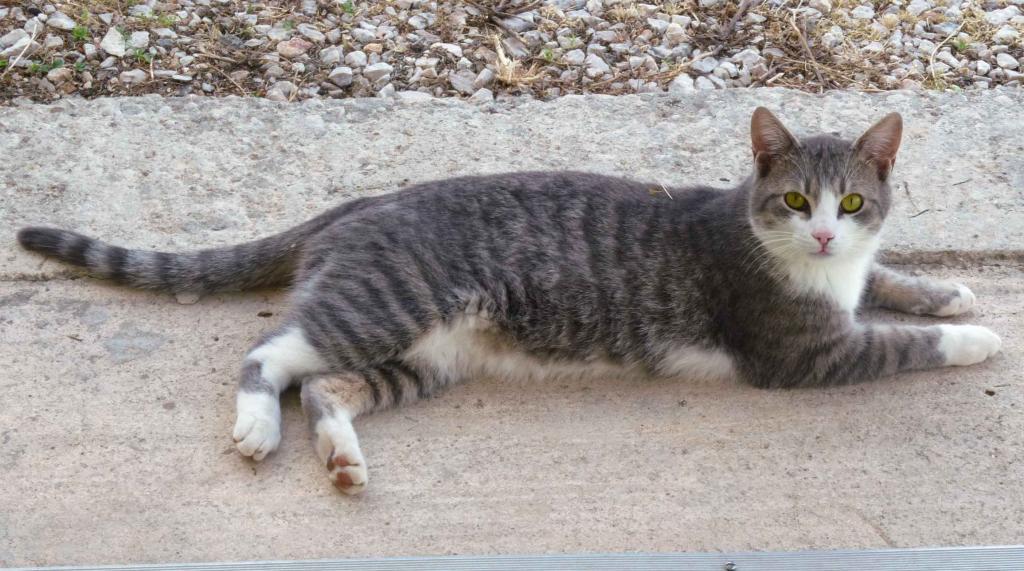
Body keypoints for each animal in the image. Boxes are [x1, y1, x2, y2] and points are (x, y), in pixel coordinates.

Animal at [17, 108, 1002, 494]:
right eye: (796, 199)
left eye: (854, 203)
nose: (827, 233)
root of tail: (360, 203)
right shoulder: (803, 352)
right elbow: (894, 340)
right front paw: (980, 339)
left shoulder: (849, 283)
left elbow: (887, 281)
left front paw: (949, 288)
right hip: (388, 303)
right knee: (270, 354)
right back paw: (258, 425)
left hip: (424, 357)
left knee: (329, 386)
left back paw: (342, 456)